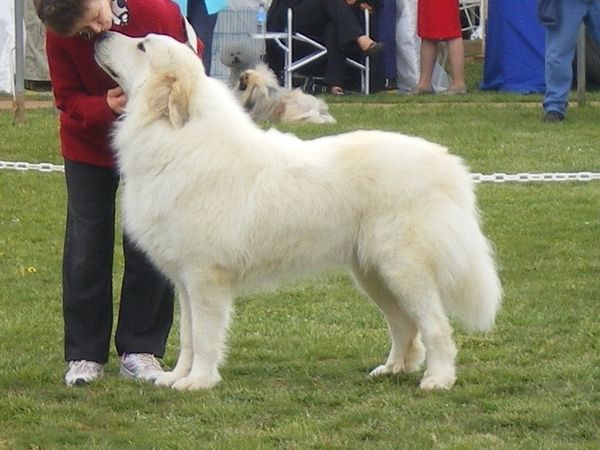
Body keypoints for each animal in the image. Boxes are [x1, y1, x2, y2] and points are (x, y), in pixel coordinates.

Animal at [96, 32, 504, 390]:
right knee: (405, 325)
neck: (174, 135)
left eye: (142, 45)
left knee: (436, 327)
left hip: (404, 269)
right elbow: (187, 337)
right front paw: (175, 377)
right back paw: (392, 369)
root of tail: (448, 164)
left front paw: (198, 382)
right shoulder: (184, 280)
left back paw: (438, 380)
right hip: (374, 273)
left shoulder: (205, 276)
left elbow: (206, 336)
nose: (97, 35)